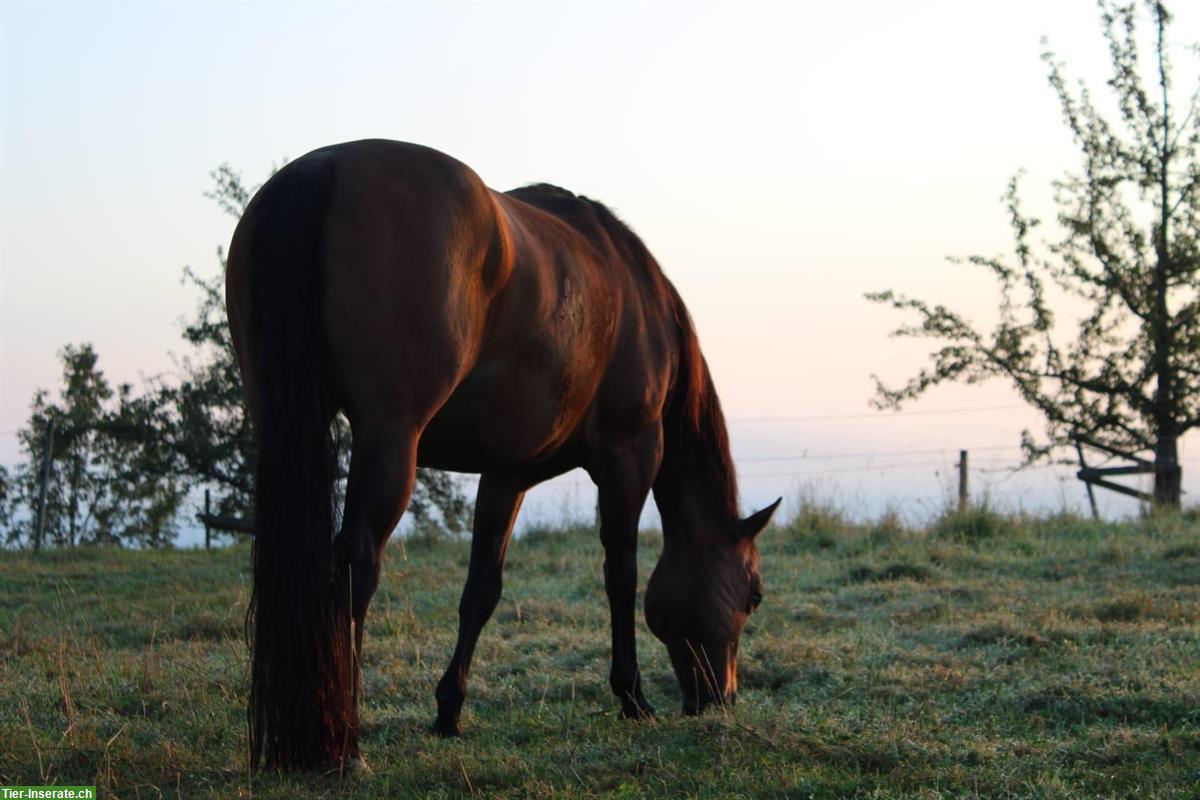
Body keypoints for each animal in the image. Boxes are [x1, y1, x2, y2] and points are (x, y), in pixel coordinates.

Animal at [225, 140, 782, 772]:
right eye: (754, 595)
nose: (721, 698)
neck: (634, 296)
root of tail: (325, 168)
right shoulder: (630, 455)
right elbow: (621, 576)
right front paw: (633, 697)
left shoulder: (506, 473)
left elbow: (481, 592)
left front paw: (448, 712)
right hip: (390, 438)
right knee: (355, 566)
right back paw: (345, 745)